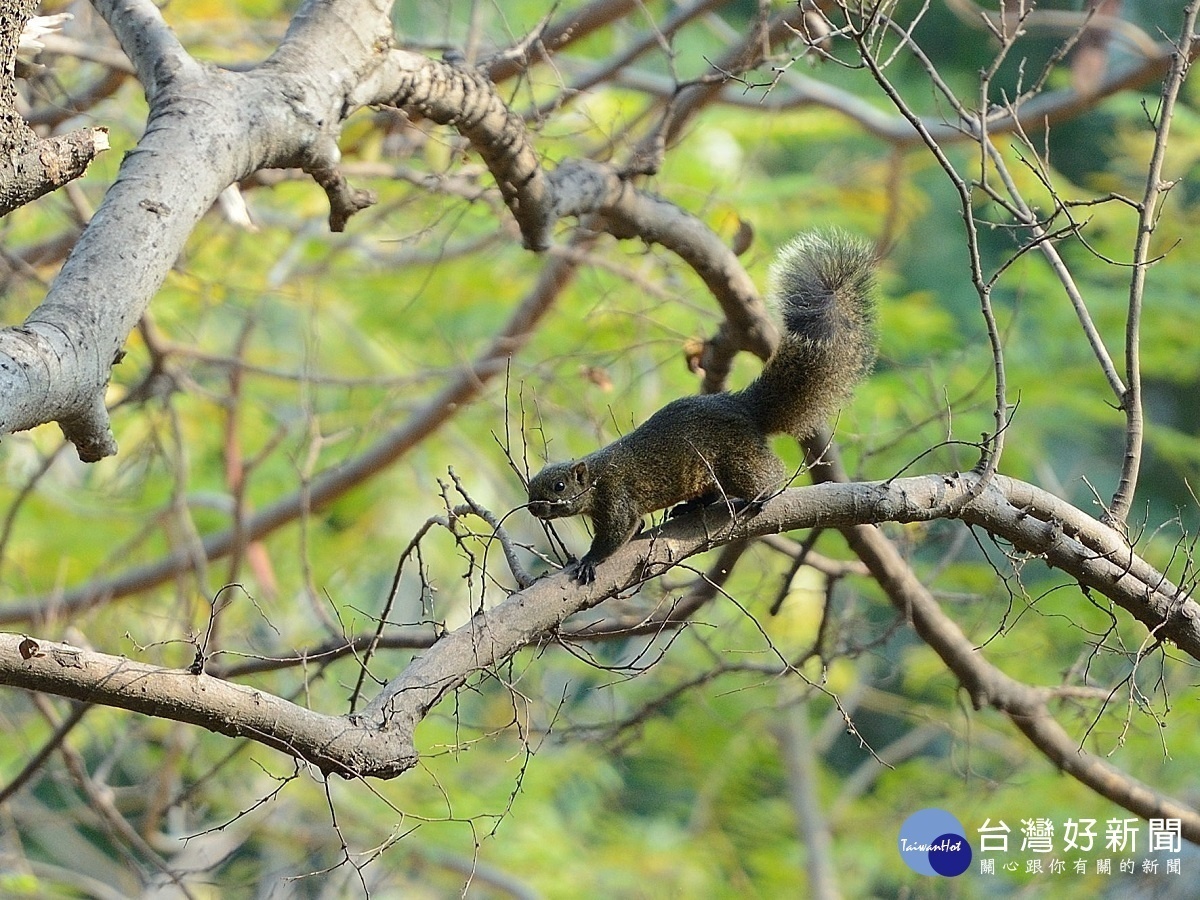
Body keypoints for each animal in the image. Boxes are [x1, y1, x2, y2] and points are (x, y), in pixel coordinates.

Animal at [525, 232, 873, 585]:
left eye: (559, 486)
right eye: (530, 486)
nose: (532, 508)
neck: (595, 475)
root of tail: (741, 405)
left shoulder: (616, 497)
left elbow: (617, 533)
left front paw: (588, 561)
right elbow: (636, 526)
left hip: (737, 460)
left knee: (768, 475)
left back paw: (760, 496)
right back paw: (690, 507)